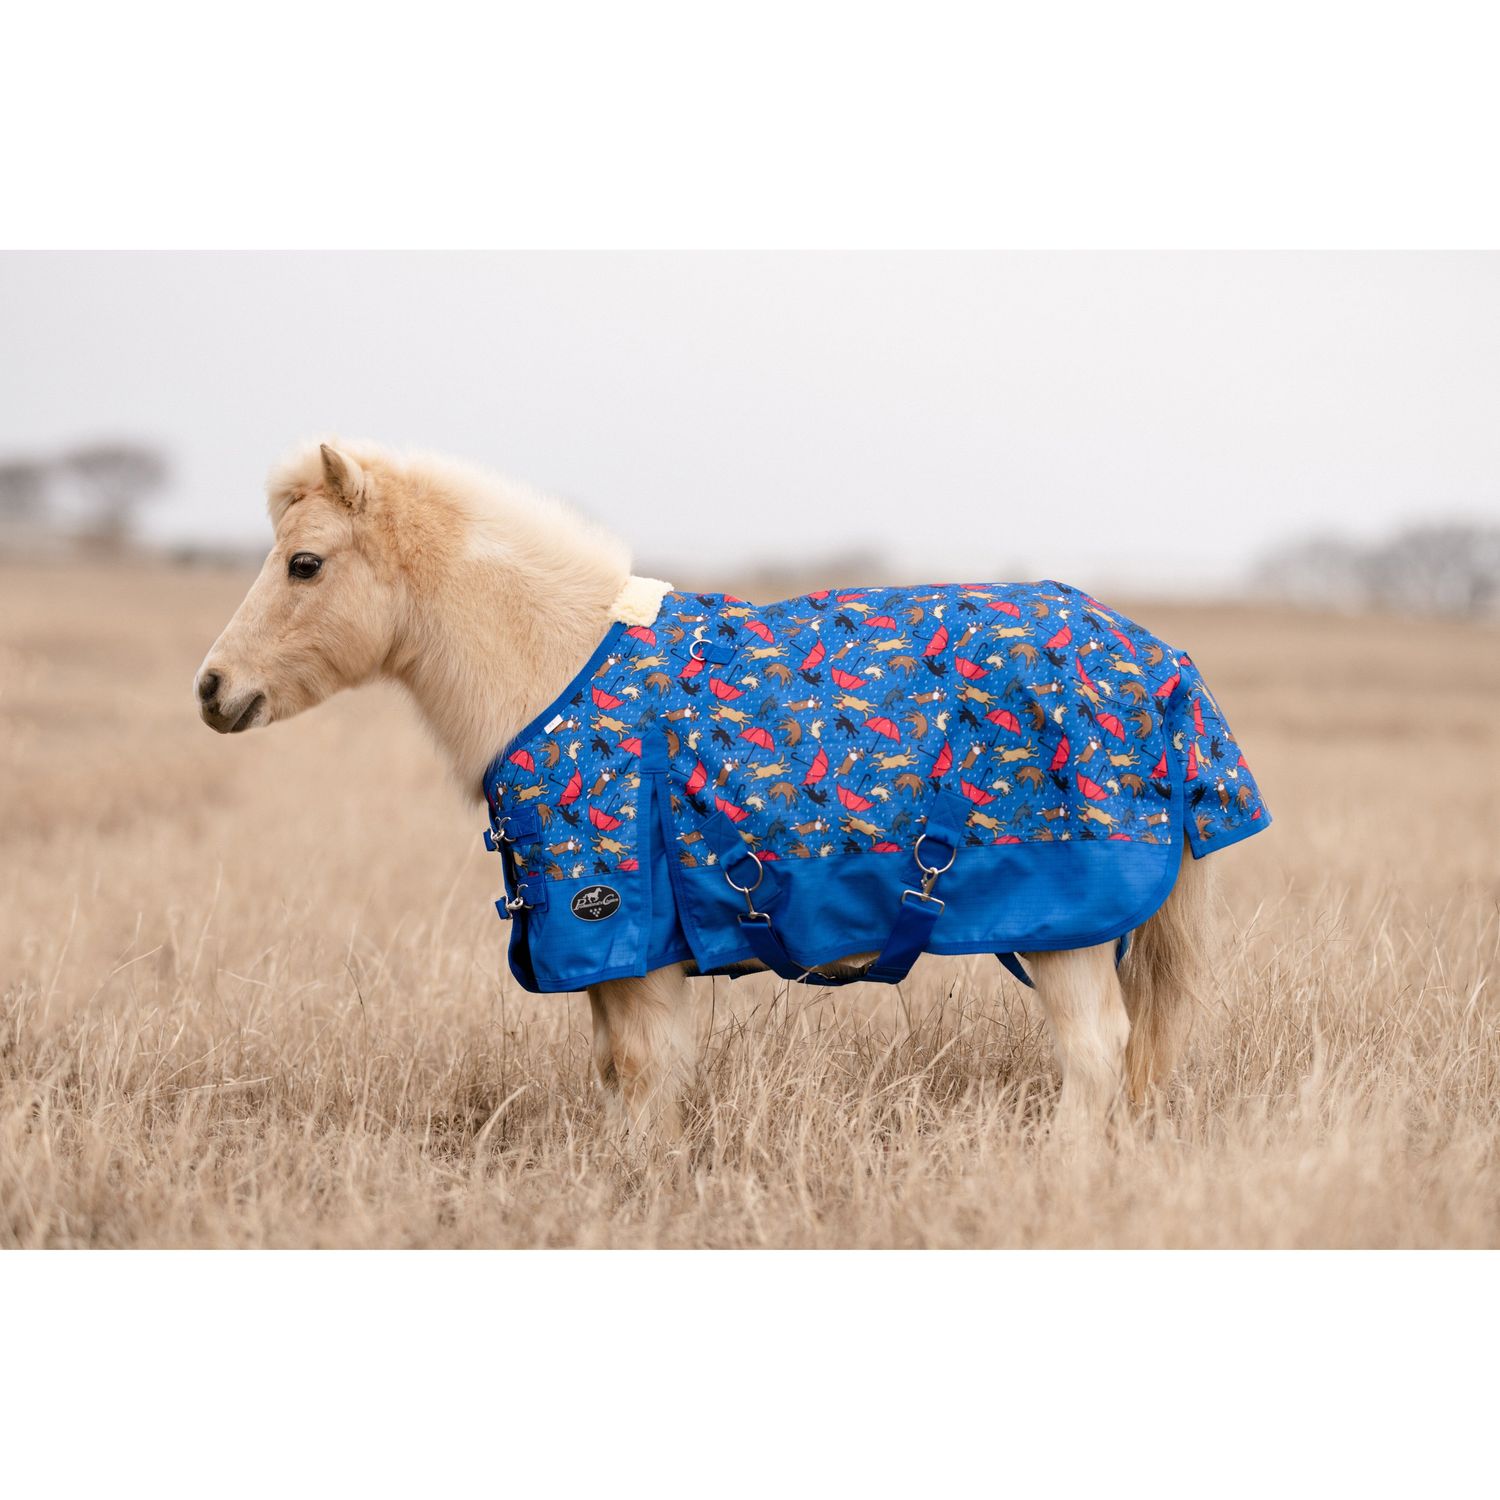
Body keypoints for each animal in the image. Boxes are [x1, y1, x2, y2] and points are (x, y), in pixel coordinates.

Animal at [196, 439, 1255, 1142]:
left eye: (304, 563)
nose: (213, 689)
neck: (558, 667)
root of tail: (1162, 665)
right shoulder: (615, 956)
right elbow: (622, 1077)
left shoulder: (628, 938)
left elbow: (645, 1074)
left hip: (1065, 930)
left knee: (1096, 1054)